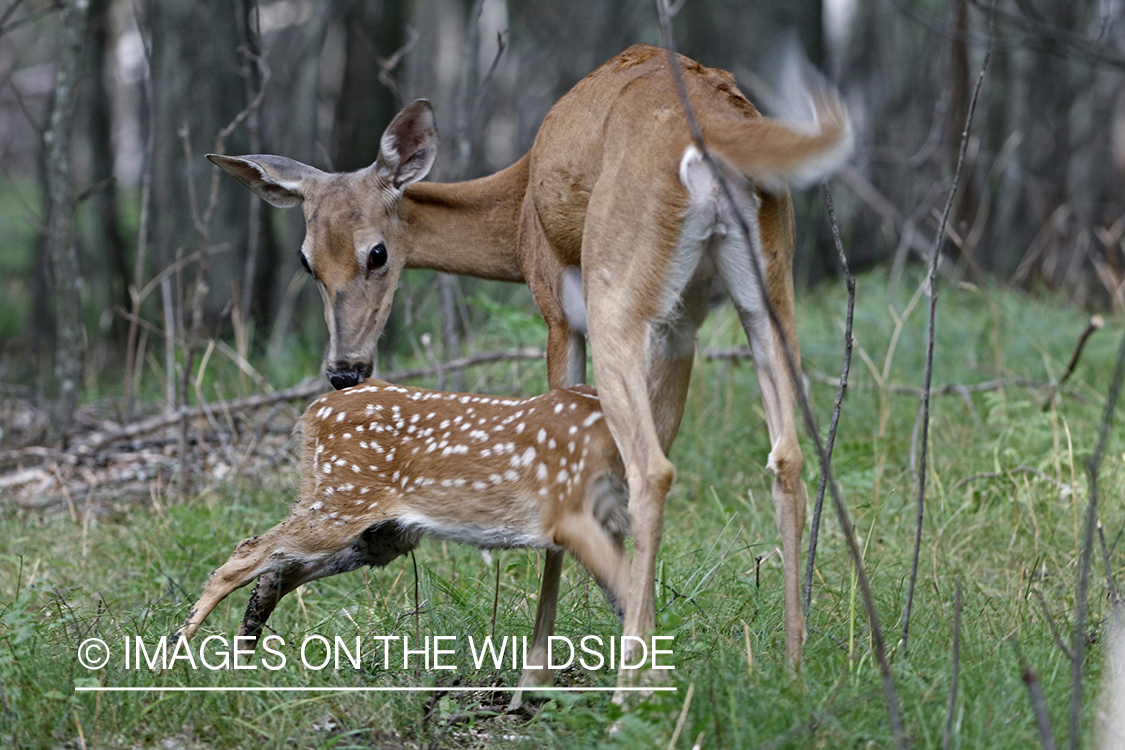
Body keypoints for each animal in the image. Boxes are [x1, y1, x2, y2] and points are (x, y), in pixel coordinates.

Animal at [173, 379, 631, 650]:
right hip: (341, 505)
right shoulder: (570, 511)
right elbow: (629, 595)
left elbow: (624, 595)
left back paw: (241, 653)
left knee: (277, 570)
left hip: (378, 532)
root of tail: (313, 412)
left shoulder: (610, 520)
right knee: (248, 551)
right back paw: (176, 650)